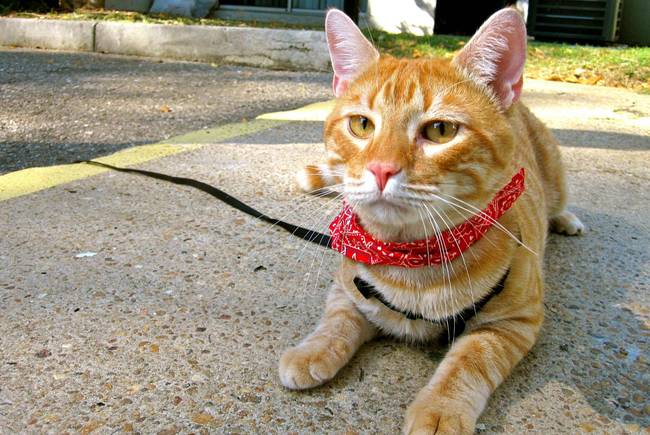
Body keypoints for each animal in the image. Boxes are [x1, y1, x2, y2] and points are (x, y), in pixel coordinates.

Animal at [278, 7, 584, 435]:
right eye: (361, 125)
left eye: (440, 130)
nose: (381, 169)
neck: (411, 257)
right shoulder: (347, 286)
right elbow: (337, 320)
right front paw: (312, 350)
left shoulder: (514, 321)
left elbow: (471, 360)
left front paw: (440, 408)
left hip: (555, 175)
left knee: (559, 202)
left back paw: (566, 218)